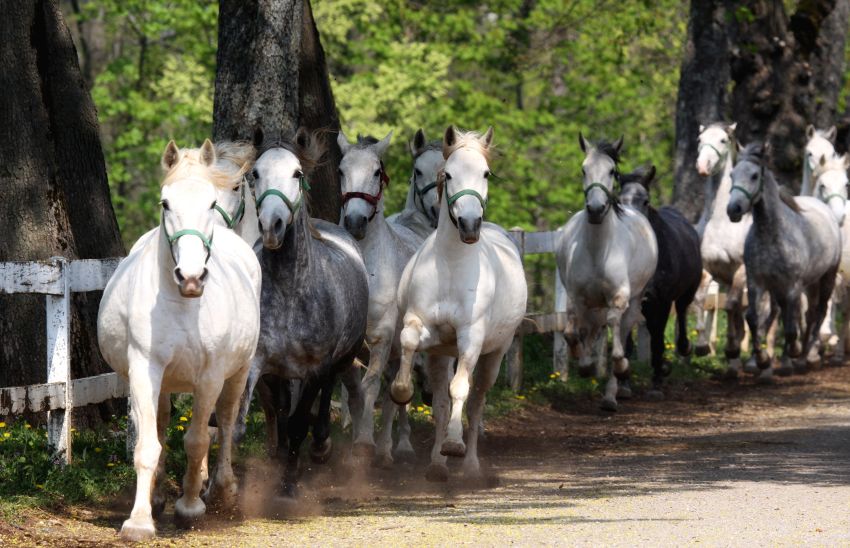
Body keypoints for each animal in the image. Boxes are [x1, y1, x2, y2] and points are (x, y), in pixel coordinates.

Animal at [97, 140, 260, 540]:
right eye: (165, 203)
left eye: (210, 204)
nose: (191, 277)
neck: (183, 304)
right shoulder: (144, 369)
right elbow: (148, 445)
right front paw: (140, 520)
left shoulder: (210, 377)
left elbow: (198, 439)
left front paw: (189, 507)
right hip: (164, 380)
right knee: (161, 421)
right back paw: (159, 496)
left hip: (239, 371)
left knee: (226, 423)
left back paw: (220, 488)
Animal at [336, 130, 424, 466]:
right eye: (341, 170)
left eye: (376, 172)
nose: (355, 222)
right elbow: (353, 393)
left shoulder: (381, 338)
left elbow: (371, 387)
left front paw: (364, 443)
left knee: (394, 395)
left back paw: (390, 448)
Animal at [390, 126, 524, 482]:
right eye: (448, 174)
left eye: (486, 173)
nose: (469, 225)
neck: (451, 265)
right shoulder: (423, 327)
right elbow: (409, 342)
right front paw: (401, 389)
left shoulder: (471, 339)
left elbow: (460, 390)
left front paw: (454, 444)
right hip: (441, 355)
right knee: (440, 402)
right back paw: (437, 465)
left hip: (495, 354)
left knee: (476, 403)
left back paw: (470, 464)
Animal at [556, 134, 656, 412]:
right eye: (583, 169)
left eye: (613, 171)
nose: (596, 209)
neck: (598, 250)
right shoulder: (576, 298)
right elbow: (572, 333)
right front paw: (585, 365)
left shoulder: (619, 298)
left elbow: (616, 340)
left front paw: (621, 367)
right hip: (594, 304)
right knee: (592, 330)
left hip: (633, 302)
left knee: (619, 330)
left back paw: (611, 396)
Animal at [616, 165, 704, 392]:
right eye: (619, 200)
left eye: (645, 201)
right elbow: (627, 341)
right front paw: (624, 383)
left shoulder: (662, 301)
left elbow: (657, 339)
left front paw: (657, 379)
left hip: (686, 294)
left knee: (680, 313)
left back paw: (681, 350)